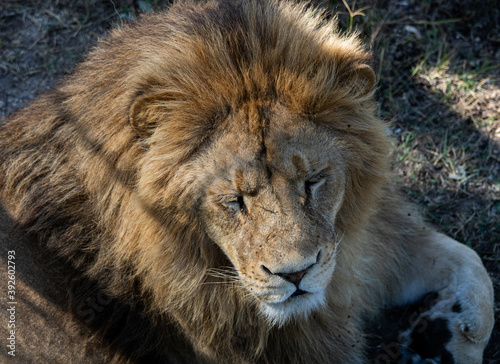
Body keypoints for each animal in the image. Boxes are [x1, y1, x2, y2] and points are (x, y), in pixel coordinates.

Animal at [0, 0, 492, 364]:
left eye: (314, 181)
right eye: (234, 200)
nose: (296, 275)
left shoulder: (360, 249)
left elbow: (471, 266)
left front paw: (448, 337)